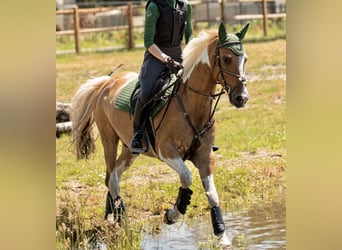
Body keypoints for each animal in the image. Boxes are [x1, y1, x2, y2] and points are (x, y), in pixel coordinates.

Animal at [71, 22, 250, 248]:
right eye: (226, 58)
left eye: (245, 59)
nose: (241, 98)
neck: (191, 104)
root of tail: (106, 83)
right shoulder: (167, 152)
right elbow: (187, 177)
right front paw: (173, 213)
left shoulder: (205, 156)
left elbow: (213, 195)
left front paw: (222, 236)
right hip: (109, 139)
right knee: (112, 178)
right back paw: (125, 228)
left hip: (130, 150)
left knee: (112, 177)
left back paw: (113, 216)